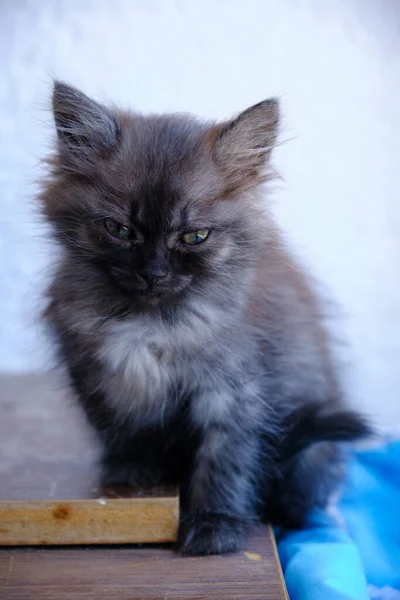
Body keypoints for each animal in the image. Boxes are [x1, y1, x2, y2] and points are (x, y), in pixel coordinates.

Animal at [39, 82, 368, 556]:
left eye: (194, 236)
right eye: (119, 230)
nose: (153, 273)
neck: (152, 322)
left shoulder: (234, 389)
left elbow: (223, 461)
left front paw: (215, 525)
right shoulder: (97, 374)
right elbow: (120, 429)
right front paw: (133, 469)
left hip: (312, 451)